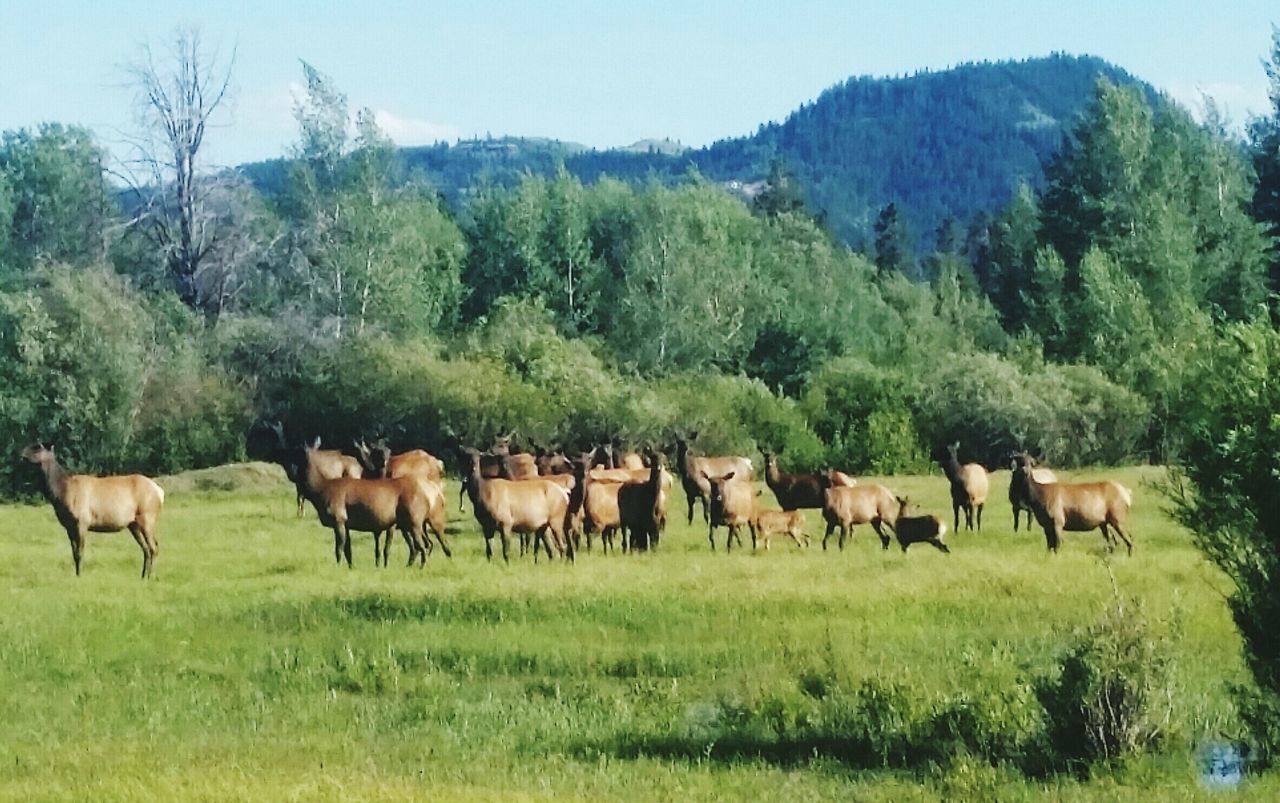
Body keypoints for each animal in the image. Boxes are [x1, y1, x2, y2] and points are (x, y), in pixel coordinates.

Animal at [21, 443, 165, 581]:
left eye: (37, 447)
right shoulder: (69, 526)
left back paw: (151, 576)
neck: (61, 494)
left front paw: (80, 575)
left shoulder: (82, 522)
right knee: (146, 549)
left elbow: (80, 553)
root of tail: (160, 492)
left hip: (147, 517)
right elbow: (74, 553)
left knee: (153, 547)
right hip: (133, 524)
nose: (22, 453)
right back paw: (143, 576)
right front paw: (76, 574)